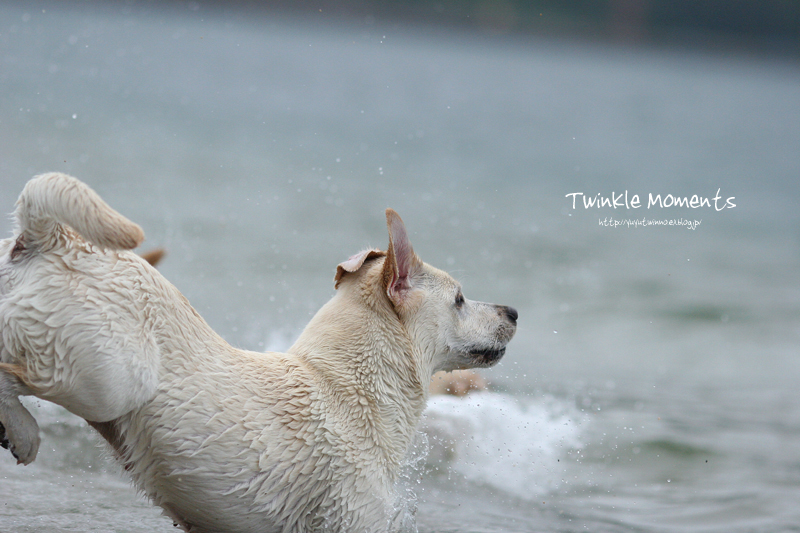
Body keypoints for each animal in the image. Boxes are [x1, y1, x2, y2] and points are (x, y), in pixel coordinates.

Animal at [0, 175, 520, 532]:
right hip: (109, 381)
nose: (514, 311)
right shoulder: (353, 518)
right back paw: (23, 433)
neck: (350, 385)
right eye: (459, 299)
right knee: (13, 375)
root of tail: (49, 237)